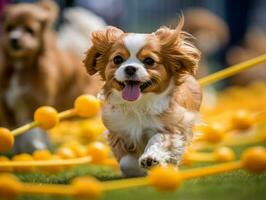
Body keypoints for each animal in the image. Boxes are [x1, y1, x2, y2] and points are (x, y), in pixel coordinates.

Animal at [0, 0, 102, 153]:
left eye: (29, 30)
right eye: (9, 28)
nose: (14, 39)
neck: (21, 66)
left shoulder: (35, 100)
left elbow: (33, 130)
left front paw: (34, 147)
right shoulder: (7, 103)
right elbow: (15, 129)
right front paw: (15, 150)